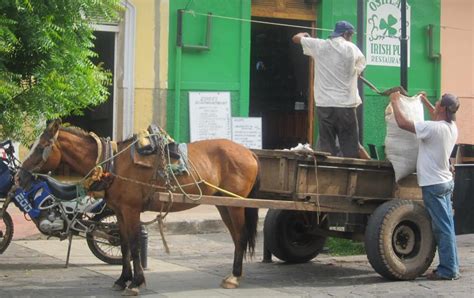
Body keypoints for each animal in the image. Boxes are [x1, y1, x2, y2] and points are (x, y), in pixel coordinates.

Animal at [18, 119, 260, 296]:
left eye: (41, 147)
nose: (20, 176)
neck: (112, 163)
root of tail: (249, 152)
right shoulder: (119, 211)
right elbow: (124, 245)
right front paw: (122, 279)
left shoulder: (131, 210)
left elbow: (134, 245)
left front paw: (136, 283)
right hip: (224, 204)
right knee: (236, 236)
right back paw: (234, 274)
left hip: (236, 205)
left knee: (240, 236)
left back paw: (234, 276)